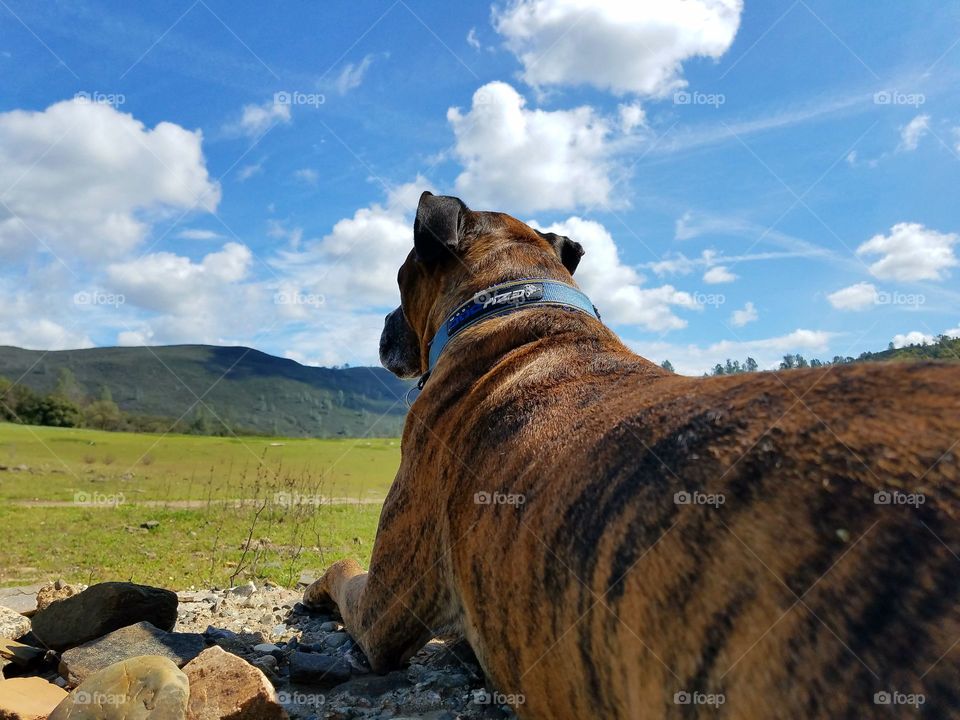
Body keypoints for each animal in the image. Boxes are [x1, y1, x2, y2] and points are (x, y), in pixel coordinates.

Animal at [304, 191, 956, 720]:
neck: (517, 307)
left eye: (399, 275)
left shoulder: (384, 609)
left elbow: (343, 571)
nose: (383, 322)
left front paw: (314, 589)